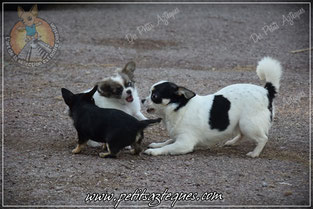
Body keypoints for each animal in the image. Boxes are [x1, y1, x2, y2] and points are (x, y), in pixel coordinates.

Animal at [141, 56, 280, 158]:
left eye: (154, 96)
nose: (142, 100)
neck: (179, 108)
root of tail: (266, 90)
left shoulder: (184, 143)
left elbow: (168, 147)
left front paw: (154, 151)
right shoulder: (178, 138)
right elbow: (168, 141)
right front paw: (157, 144)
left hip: (248, 124)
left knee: (263, 138)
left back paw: (255, 153)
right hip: (241, 123)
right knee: (242, 134)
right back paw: (231, 142)